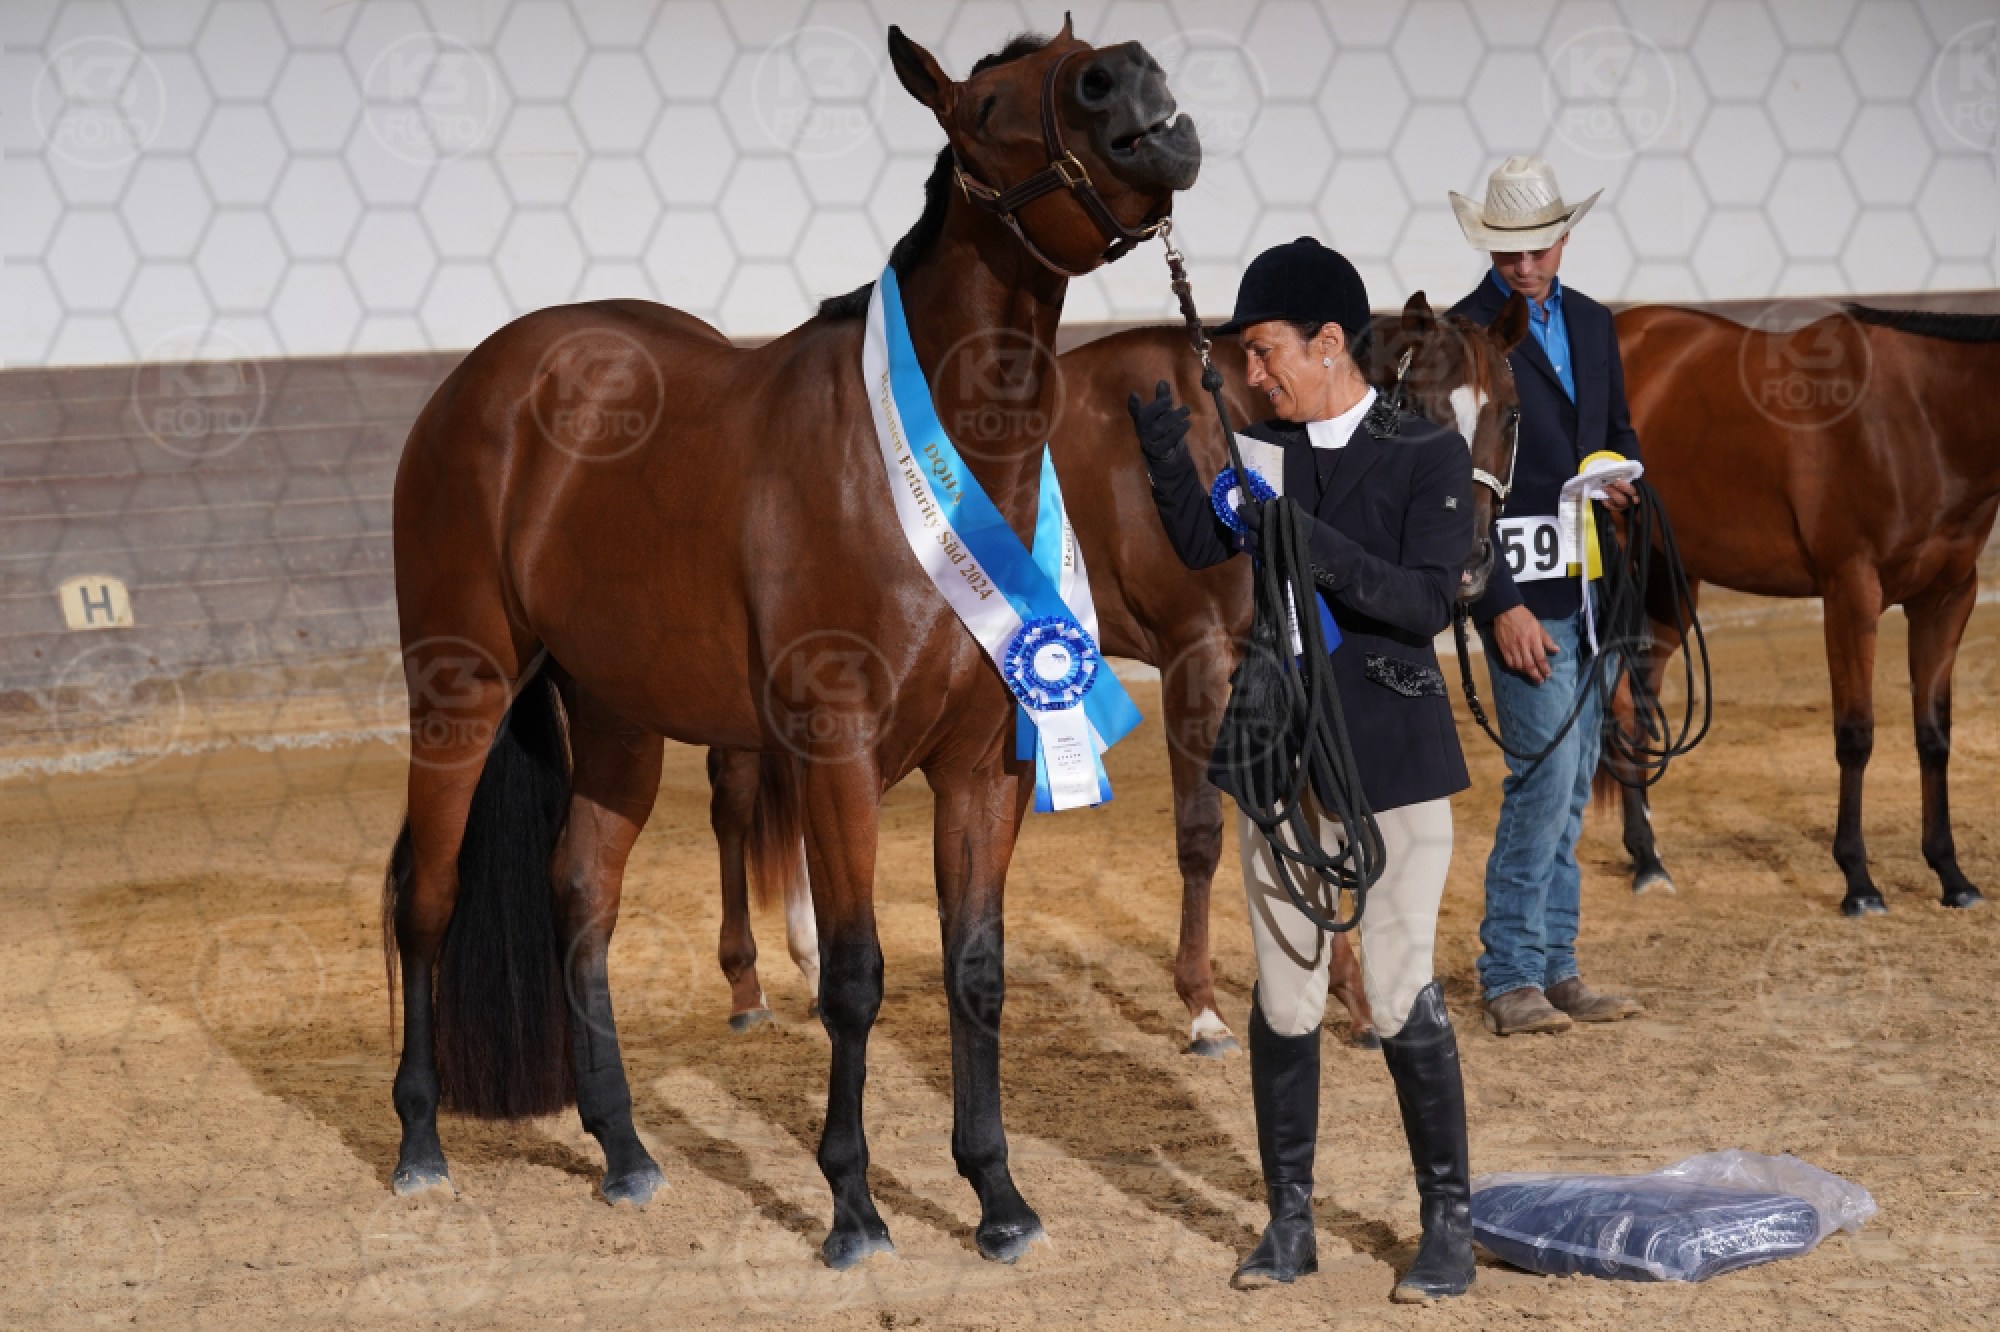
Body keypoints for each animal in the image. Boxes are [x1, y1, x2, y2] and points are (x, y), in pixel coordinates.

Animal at [380, 21, 1203, 1268]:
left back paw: (625, 1152)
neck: (916, 465)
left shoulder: (985, 768)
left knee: (580, 899)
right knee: (424, 895)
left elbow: (975, 970)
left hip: (615, 717)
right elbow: (854, 976)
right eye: (986, 105)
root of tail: (483, 380)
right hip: (460, 689)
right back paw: (421, 1144)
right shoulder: (834, 756)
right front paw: (853, 1208)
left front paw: (998, 1199)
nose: (1140, 89)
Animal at [711, 290, 1531, 1053]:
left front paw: (1353, 999)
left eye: (1514, 413)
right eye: (1420, 403)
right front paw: (1203, 1009)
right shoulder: (1193, 653)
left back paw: (806, 970)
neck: (1228, 437)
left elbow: (1318, 819)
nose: (1468, 568)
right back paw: (753, 986)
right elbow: (1202, 833)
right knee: (737, 805)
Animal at [1602, 302, 1999, 916]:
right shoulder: (1851, 591)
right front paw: (1859, 883)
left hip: (1669, 583)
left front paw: (1952, 876)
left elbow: (1934, 736)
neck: (1926, 420)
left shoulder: (1948, 598)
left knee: (1637, 707)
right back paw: (1646, 861)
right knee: (1621, 706)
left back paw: (1646, 856)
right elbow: (1856, 735)